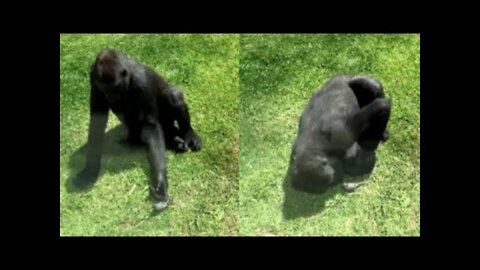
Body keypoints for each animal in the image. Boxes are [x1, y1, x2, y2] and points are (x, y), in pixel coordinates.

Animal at [71, 49, 201, 212]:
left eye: (115, 88)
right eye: (105, 90)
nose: (110, 96)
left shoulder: (141, 82)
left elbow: (151, 124)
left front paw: (160, 182)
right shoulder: (94, 80)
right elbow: (97, 123)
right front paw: (90, 170)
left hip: (168, 120)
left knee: (173, 95)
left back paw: (187, 133)